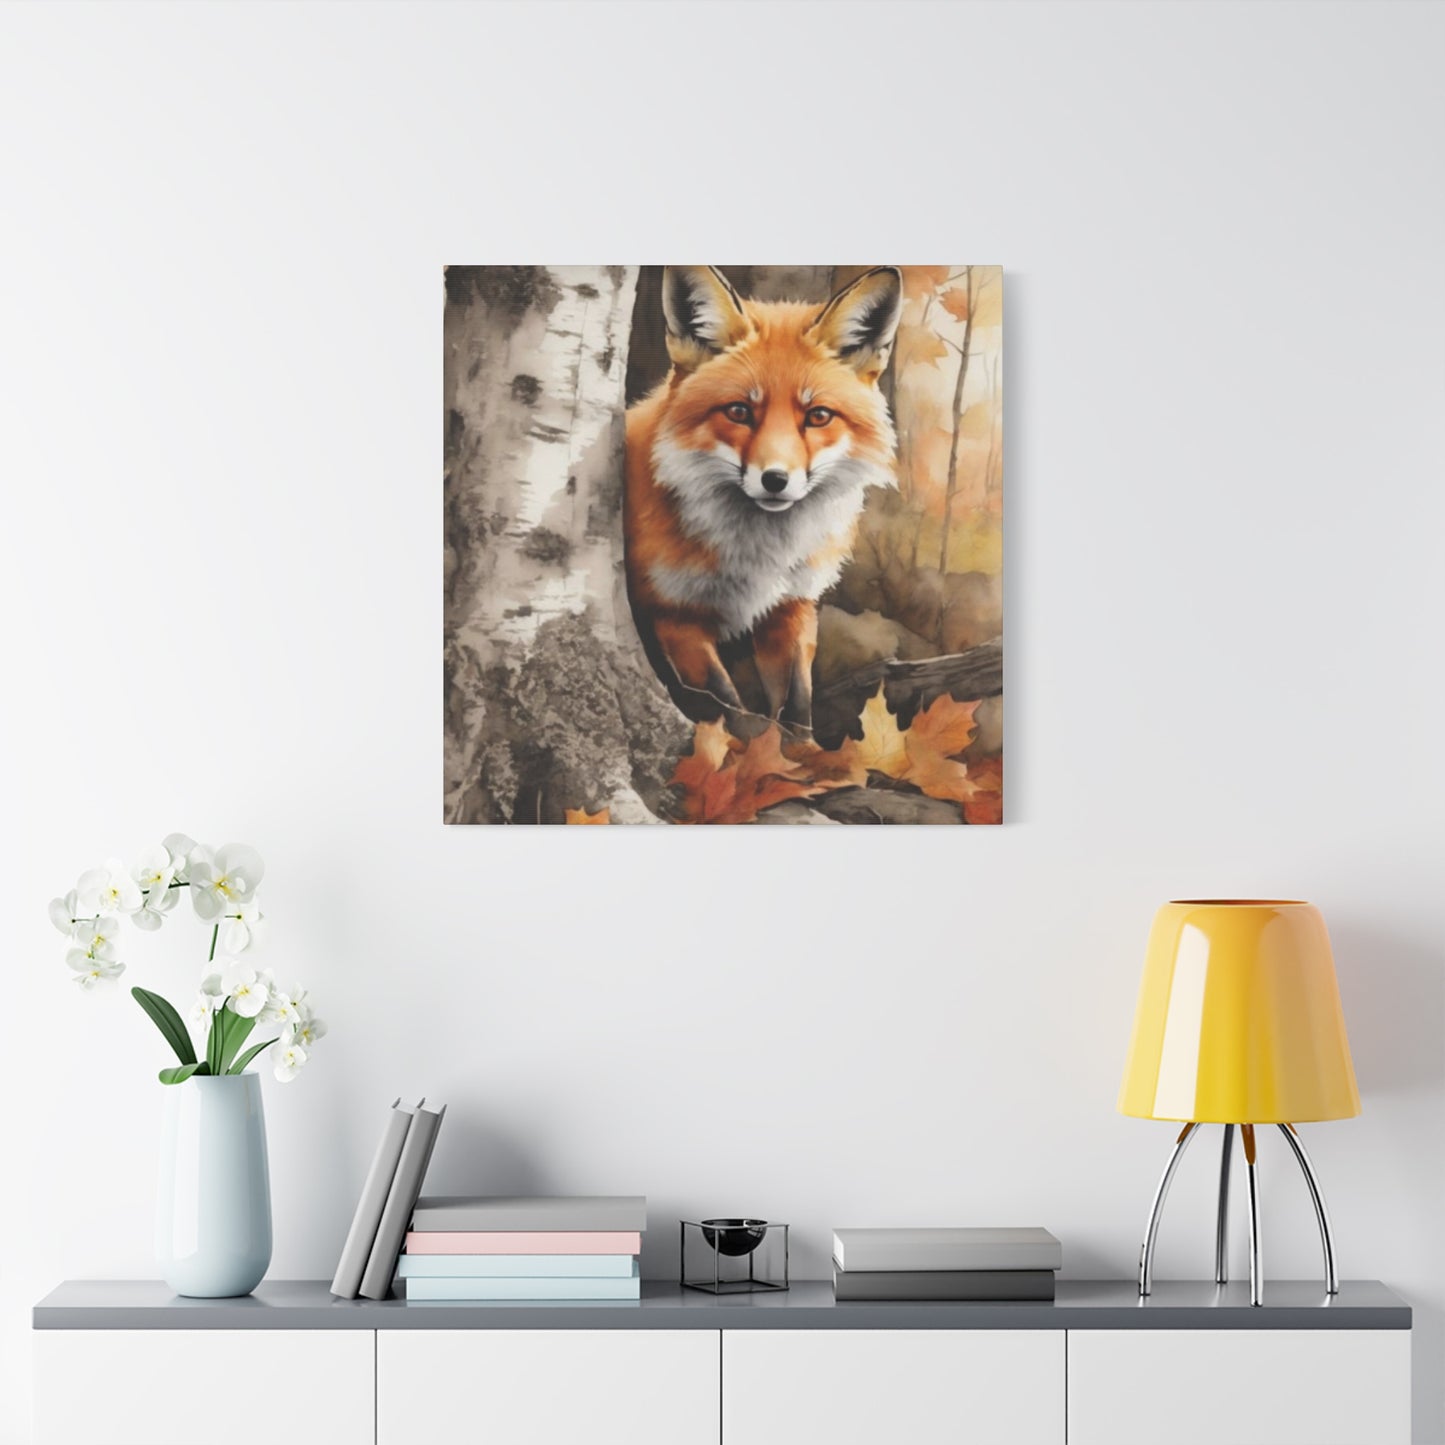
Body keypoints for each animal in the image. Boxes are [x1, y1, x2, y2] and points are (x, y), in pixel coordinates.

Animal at [624, 264, 903, 736]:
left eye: (818, 416)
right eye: (739, 411)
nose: (775, 480)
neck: (760, 556)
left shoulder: (792, 607)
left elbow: (796, 706)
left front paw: (803, 753)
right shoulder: (674, 615)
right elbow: (731, 710)